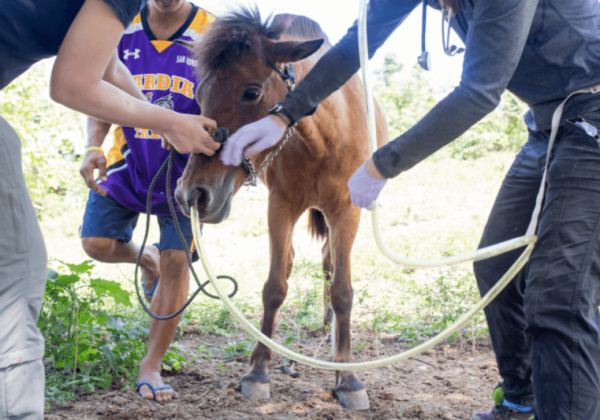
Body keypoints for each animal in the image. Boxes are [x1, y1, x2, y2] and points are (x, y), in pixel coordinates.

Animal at [173, 9, 390, 410]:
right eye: (198, 93)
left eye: (252, 92)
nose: (192, 193)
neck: (323, 139)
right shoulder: (281, 207)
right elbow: (274, 286)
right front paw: (258, 371)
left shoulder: (346, 211)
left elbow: (343, 291)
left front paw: (347, 376)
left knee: (329, 267)